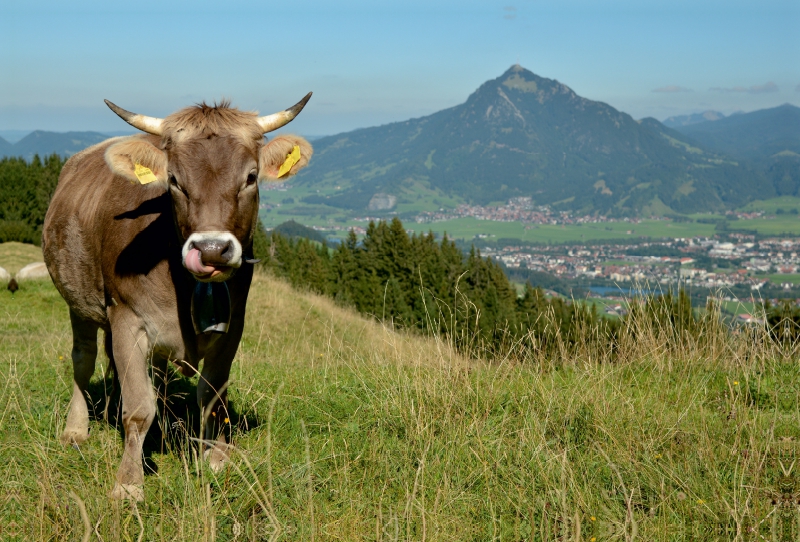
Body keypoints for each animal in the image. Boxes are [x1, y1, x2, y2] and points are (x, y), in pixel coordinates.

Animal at [43, 95, 312, 504]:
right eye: (173, 181)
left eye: (251, 177)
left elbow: (212, 396)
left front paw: (215, 458)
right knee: (83, 360)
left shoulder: (233, 327)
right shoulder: (127, 318)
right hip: (79, 302)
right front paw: (129, 483)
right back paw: (76, 429)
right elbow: (139, 408)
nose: (212, 249)